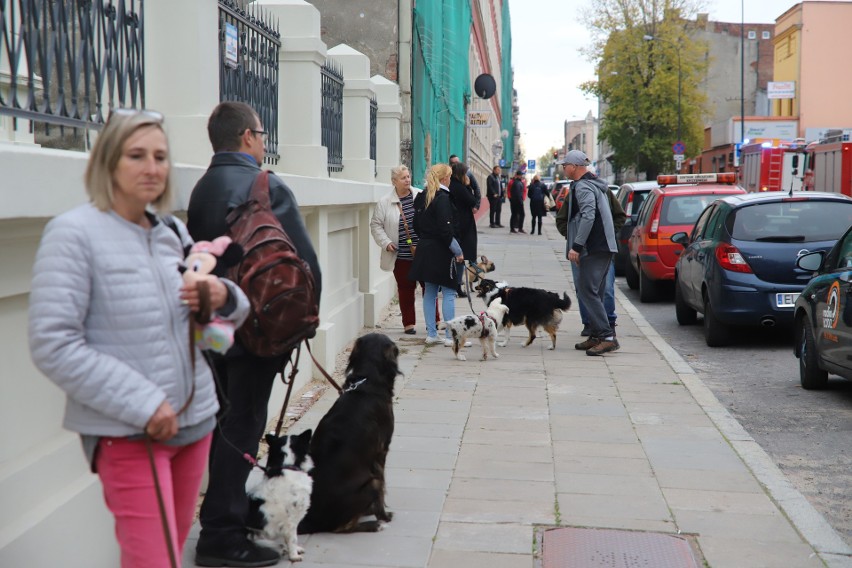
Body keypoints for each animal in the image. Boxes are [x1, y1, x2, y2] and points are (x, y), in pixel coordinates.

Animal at [248, 430, 314, 560]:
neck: (289, 466)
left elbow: (288, 540)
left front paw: (295, 550)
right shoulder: (291, 521)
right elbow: (293, 539)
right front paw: (294, 556)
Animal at [298, 332, 402, 532]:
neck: (366, 381)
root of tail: (312, 520)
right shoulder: (381, 453)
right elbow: (382, 489)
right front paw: (383, 516)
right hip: (371, 483)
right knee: (342, 528)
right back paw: (373, 524)